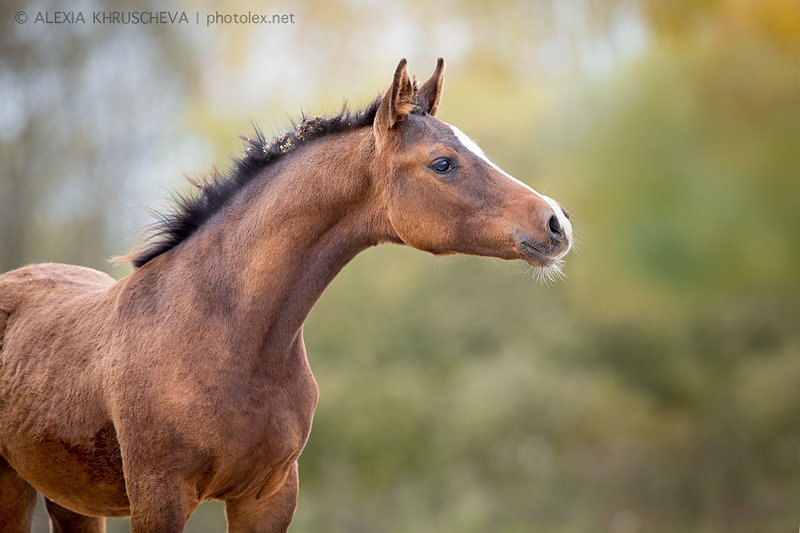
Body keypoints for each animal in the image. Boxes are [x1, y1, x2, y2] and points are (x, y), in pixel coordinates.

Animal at [1, 56, 576, 528]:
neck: (229, 337)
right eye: (443, 163)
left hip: (70, 497)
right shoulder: (160, 497)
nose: (556, 223)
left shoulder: (268, 497)